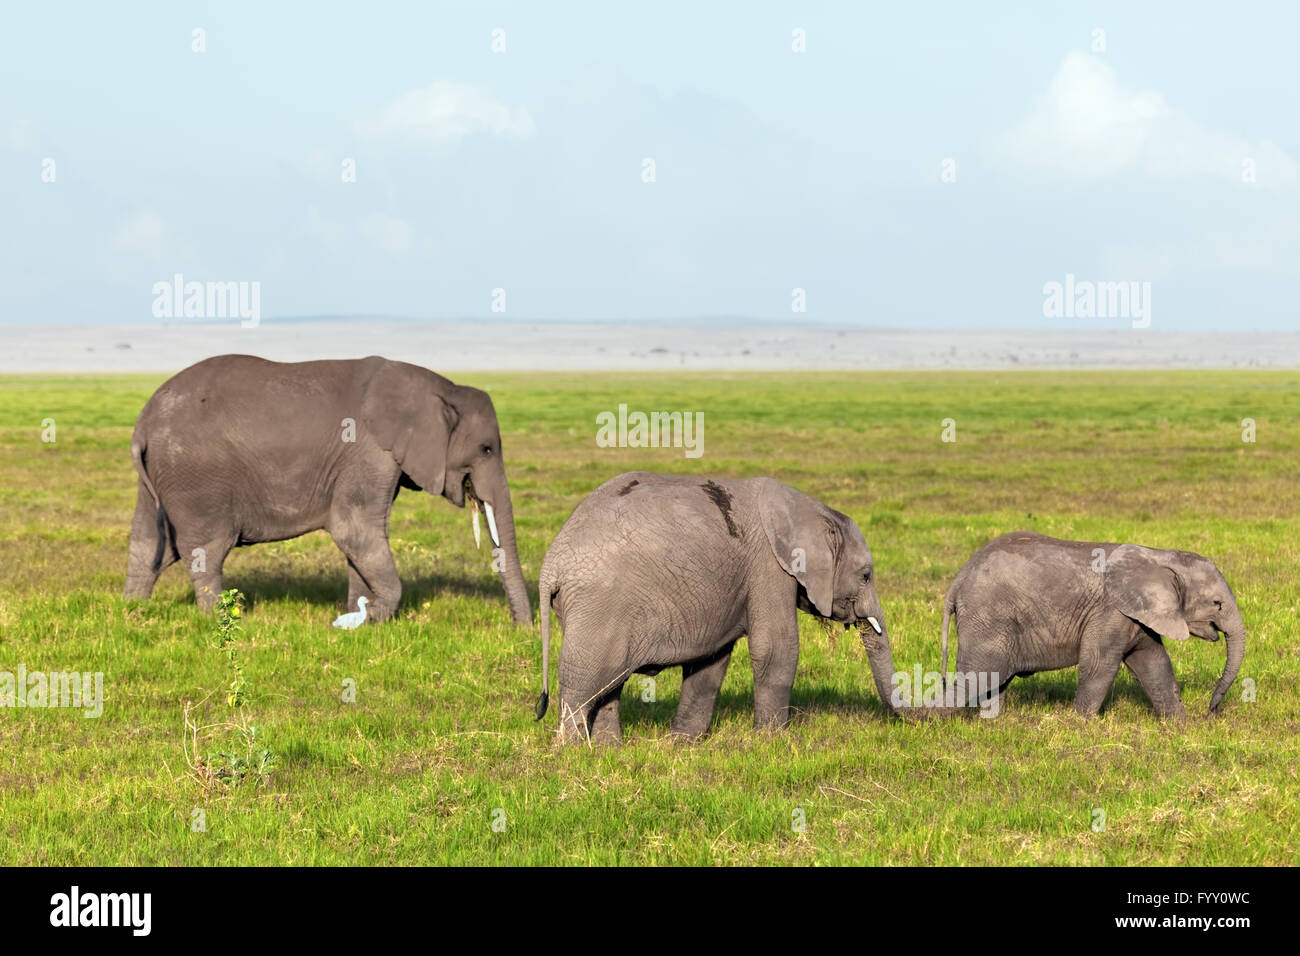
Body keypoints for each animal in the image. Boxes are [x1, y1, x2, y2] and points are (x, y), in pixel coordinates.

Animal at [123, 354, 531, 624]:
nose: (520, 628)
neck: (443, 388)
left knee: (149, 543)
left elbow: (362, 537)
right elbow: (354, 528)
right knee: (208, 549)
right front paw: (373, 616)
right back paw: (220, 619)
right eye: (487, 449)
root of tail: (142, 424)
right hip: (196, 477)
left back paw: (132, 610)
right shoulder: (370, 450)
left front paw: (358, 615)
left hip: (161, 477)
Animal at [533, 471, 897, 743]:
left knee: (609, 683)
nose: (905, 722)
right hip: (600, 605)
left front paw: (682, 743)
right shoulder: (768, 567)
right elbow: (775, 647)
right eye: (866, 575)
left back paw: (609, 750)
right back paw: (572, 753)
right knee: (585, 683)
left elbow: (711, 661)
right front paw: (773, 742)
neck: (810, 509)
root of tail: (552, 563)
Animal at [937, 532, 1245, 718]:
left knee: (993, 681)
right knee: (976, 678)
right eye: (1217, 603)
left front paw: (1179, 725)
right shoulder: (1110, 611)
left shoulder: (1137, 616)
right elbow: (1099, 664)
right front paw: (1080, 724)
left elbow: (1154, 664)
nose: (1210, 711)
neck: (1159, 556)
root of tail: (960, 577)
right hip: (988, 618)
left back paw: (993, 721)